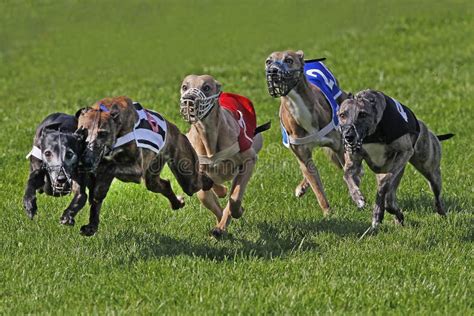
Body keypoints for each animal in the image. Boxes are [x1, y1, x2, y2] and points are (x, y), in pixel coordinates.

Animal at [76, 97, 213, 236]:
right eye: (82, 131)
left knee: (193, 183)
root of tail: (174, 128)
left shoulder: (136, 170)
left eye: (102, 133)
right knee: (162, 184)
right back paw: (177, 203)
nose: (86, 161)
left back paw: (208, 182)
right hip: (154, 173)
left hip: (186, 175)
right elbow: (97, 194)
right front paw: (91, 226)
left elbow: (109, 167)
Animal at [180, 74, 270, 237]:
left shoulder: (248, 160)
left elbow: (234, 197)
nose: (189, 99)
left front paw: (236, 213)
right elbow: (205, 196)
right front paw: (220, 225)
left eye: (206, 87)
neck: (208, 138)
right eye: (184, 86)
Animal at [264, 50, 354, 215]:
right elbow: (317, 189)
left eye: (289, 60)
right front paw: (328, 213)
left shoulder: (339, 147)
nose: (272, 71)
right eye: (268, 61)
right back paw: (302, 187)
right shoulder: (303, 156)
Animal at [336, 89, 456, 230]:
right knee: (390, 201)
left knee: (435, 194)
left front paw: (377, 212)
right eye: (342, 115)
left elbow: (383, 184)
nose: (348, 136)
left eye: (362, 114)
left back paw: (441, 213)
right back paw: (397, 217)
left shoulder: (405, 152)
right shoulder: (353, 161)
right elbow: (347, 176)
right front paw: (358, 198)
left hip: (430, 170)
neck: (373, 133)